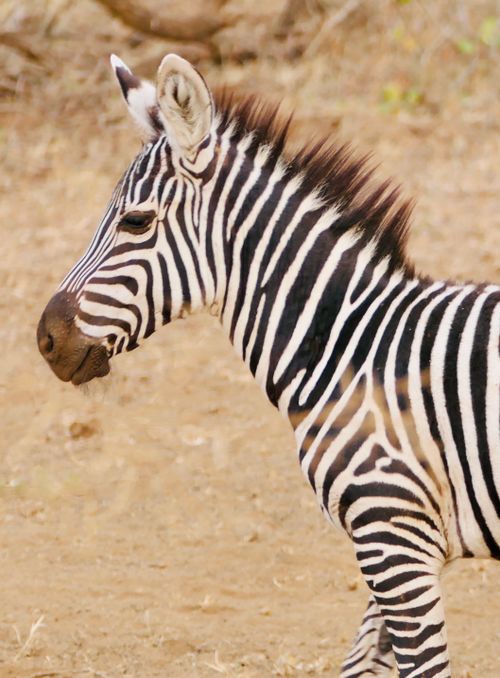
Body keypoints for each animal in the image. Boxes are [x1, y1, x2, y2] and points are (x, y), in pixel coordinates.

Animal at [36, 53, 500, 677]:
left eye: (135, 222)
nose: (45, 339)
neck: (355, 346)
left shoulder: (392, 536)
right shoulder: (405, 544)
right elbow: (361, 663)